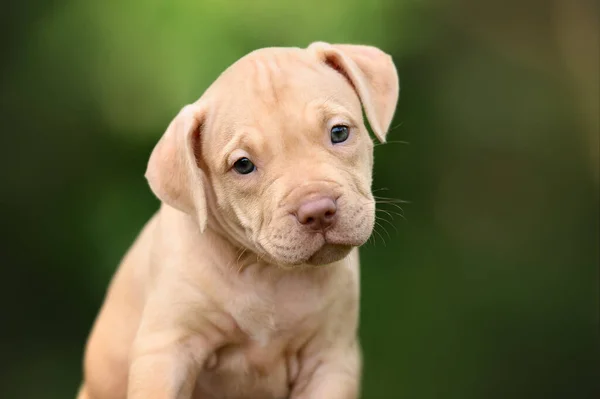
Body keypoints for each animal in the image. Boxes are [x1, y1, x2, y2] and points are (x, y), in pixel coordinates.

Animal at [77, 41, 400, 399]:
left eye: (339, 132)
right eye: (243, 165)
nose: (317, 210)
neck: (266, 272)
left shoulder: (329, 360)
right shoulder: (165, 353)